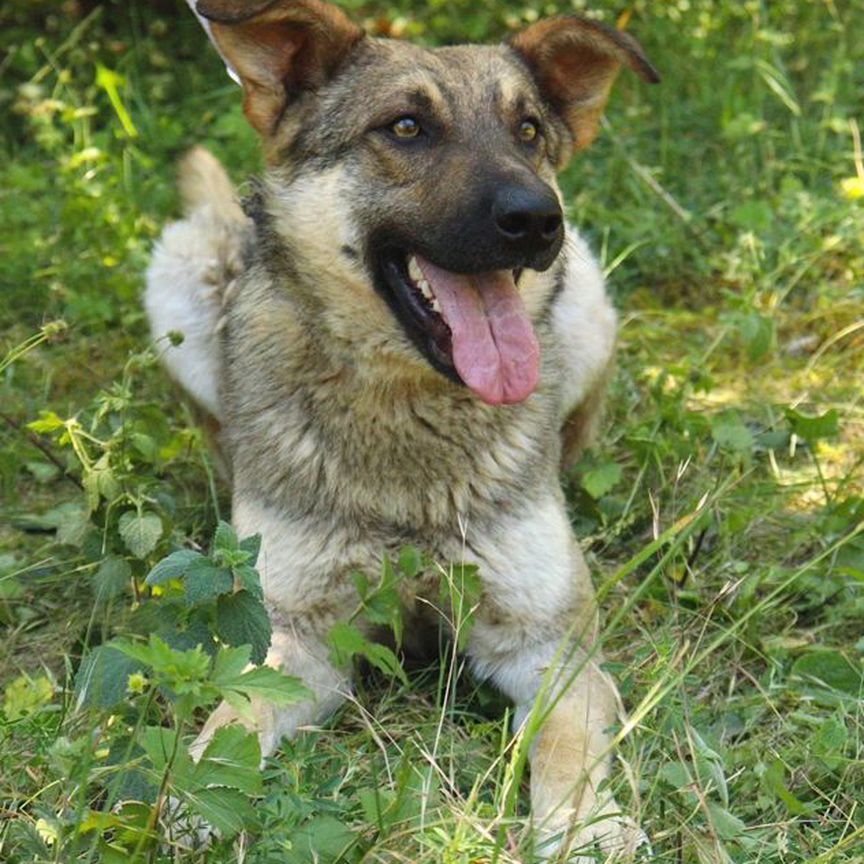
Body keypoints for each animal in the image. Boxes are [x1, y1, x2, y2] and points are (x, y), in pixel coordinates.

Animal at [145, 1, 660, 856]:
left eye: (527, 131)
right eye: (408, 127)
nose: (536, 219)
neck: (406, 414)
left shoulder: (549, 645)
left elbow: (565, 746)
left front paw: (584, 828)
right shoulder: (298, 642)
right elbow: (235, 714)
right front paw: (198, 787)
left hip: (587, 294)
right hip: (181, 272)